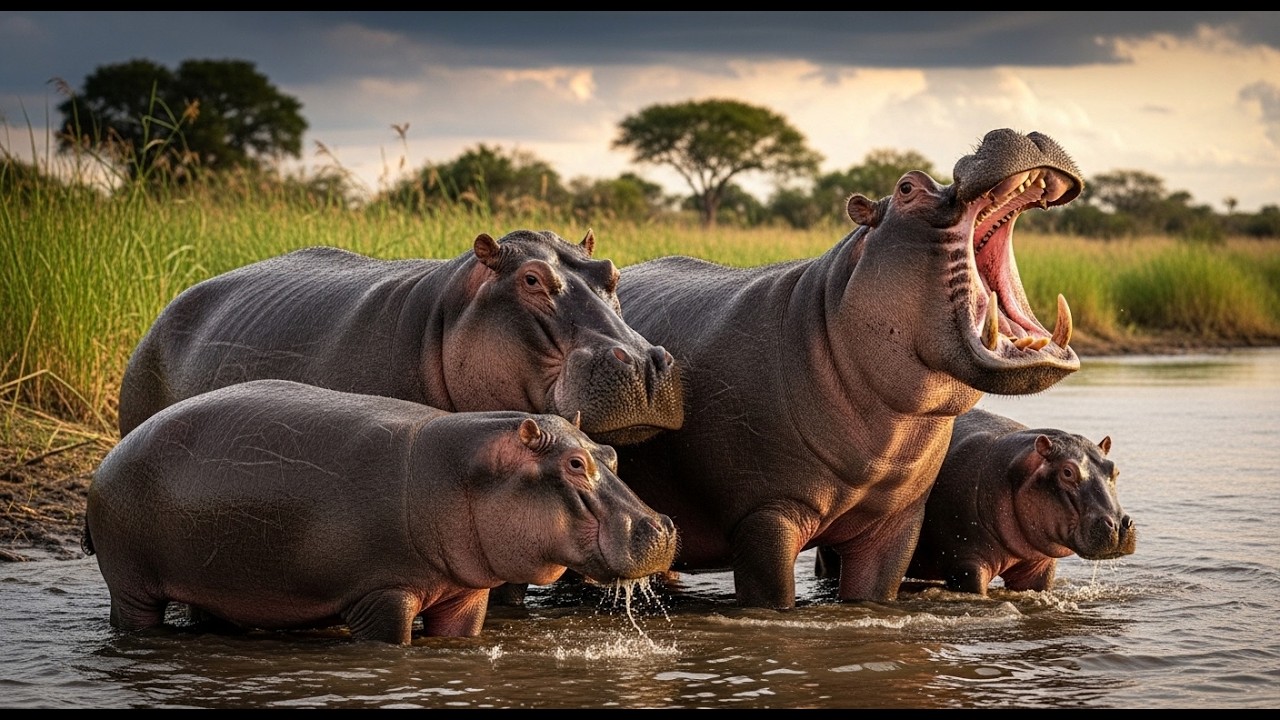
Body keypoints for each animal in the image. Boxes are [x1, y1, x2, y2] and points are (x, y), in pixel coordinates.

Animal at [83, 379, 678, 645]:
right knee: (133, 618)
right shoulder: (382, 594)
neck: (463, 471)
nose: (664, 526)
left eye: (611, 453)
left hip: (217, 580)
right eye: (575, 463)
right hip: (131, 585)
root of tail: (111, 453)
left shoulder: (466, 597)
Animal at [593, 129, 1084, 609]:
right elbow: (772, 596)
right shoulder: (764, 516)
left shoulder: (895, 525)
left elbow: (874, 593)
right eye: (907, 187)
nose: (1020, 132)